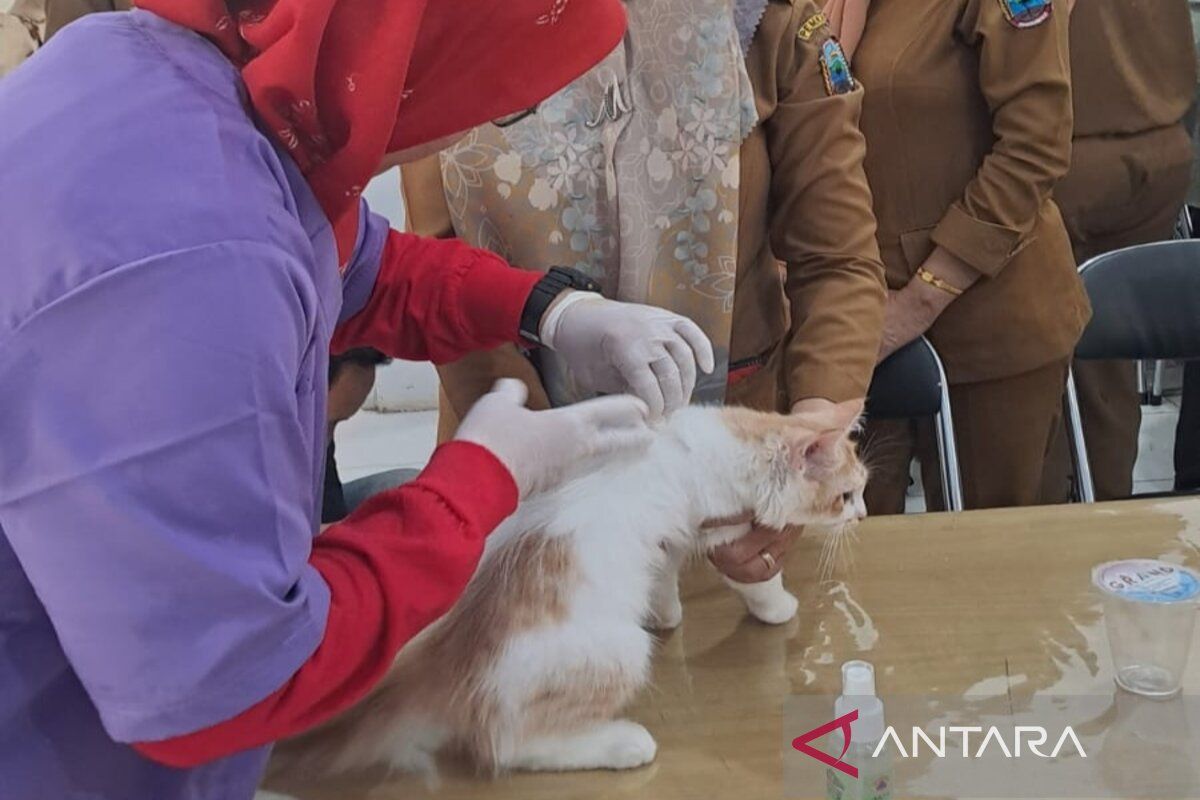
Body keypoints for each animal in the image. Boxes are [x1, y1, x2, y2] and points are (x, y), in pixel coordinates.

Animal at [272, 402, 868, 777]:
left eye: (861, 493)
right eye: (845, 496)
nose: (862, 516)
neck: (731, 440)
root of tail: (449, 662)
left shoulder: (667, 540)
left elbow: (662, 576)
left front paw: (666, 612)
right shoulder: (722, 527)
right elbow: (755, 579)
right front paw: (777, 606)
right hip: (617, 654)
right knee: (505, 746)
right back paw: (624, 743)